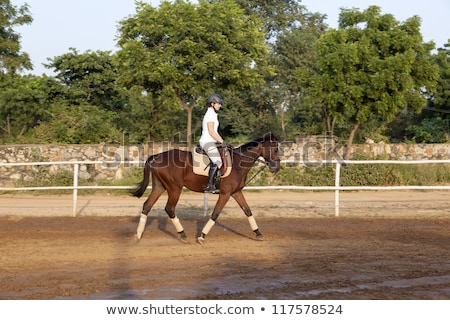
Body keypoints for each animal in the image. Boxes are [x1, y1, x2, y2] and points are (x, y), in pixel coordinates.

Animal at [129, 132, 282, 242]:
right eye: (275, 149)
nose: (277, 168)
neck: (238, 162)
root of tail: (155, 157)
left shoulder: (236, 192)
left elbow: (247, 211)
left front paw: (258, 233)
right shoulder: (225, 194)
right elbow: (215, 214)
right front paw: (202, 236)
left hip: (159, 187)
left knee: (147, 206)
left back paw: (138, 235)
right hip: (175, 188)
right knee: (169, 208)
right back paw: (182, 234)